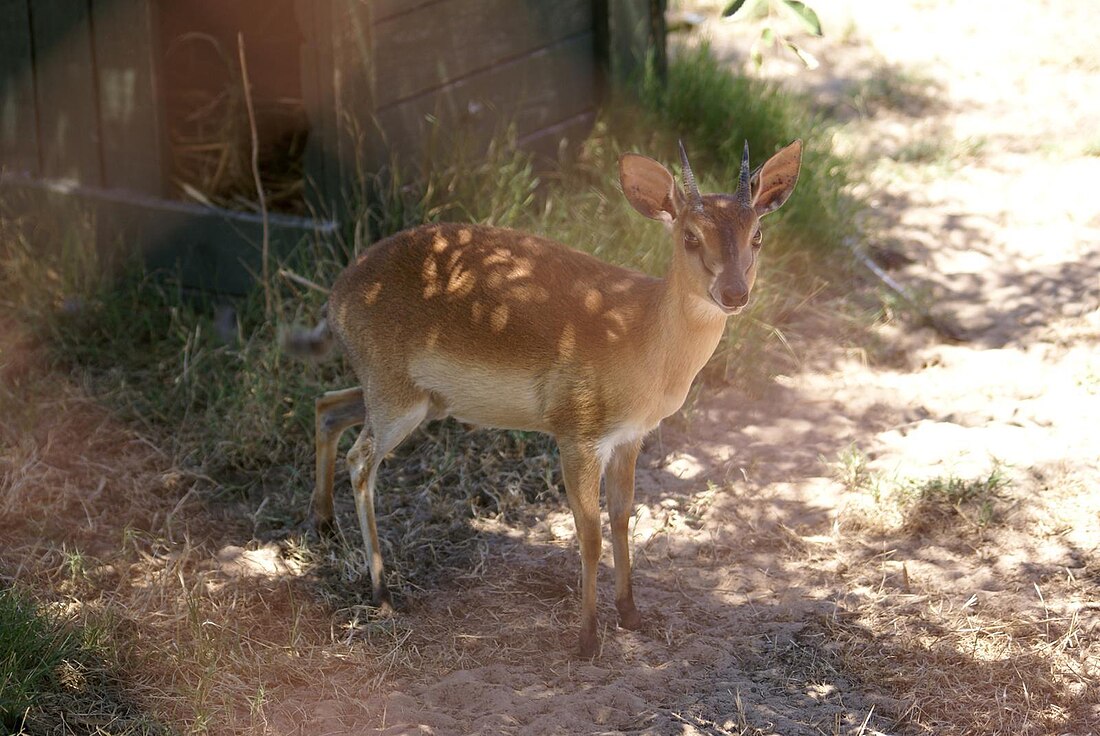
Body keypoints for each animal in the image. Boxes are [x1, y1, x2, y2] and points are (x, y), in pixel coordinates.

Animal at [283, 140, 800, 655]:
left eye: (756, 234)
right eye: (691, 235)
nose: (734, 293)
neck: (640, 339)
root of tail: (336, 298)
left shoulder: (630, 437)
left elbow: (622, 519)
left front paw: (631, 615)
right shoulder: (577, 434)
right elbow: (589, 534)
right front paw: (587, 639)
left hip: (409, 396)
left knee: (327, 407)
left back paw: (323, 523)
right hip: (396, 398)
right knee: (359, 459)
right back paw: (382, 592)